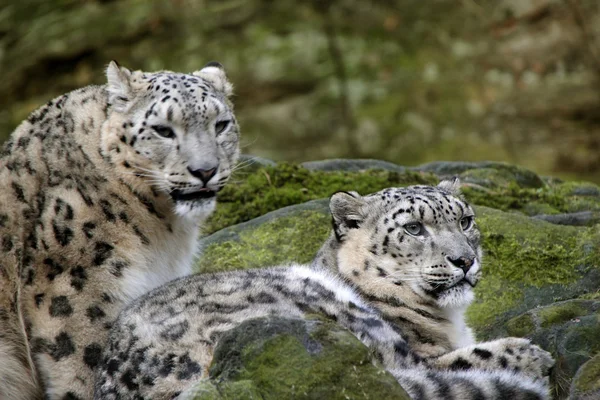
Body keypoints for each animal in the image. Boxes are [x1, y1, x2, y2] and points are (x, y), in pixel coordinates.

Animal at [0, 60, 239, 400]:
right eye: (163, 130)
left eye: (220, 124)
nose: (205, 170)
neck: (163, 234)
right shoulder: (77, 292)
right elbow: (85, 365)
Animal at [96, 181, 556, 400]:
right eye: (413, 228)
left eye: (465, 221)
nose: (465, 260)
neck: (449, 319)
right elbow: (448, 361)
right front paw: (531, 354)